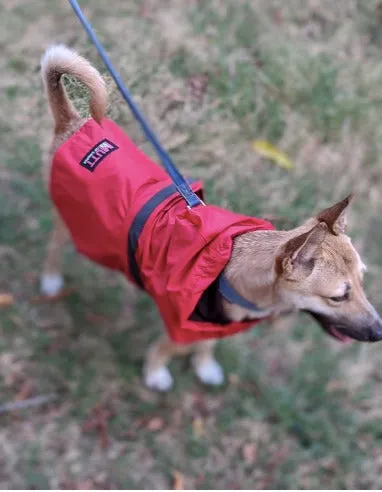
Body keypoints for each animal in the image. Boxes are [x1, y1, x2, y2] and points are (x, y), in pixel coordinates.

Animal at [39, 46, 382, 392]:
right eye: (338, 296)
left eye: (362, 281)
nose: (379, 332)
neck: (233, 275)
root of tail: (73, 123)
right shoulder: (182, 327)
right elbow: (168, 348)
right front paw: (155, 372)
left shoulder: (218, 325)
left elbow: (208, 345)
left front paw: (204, 366)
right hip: (77, 219)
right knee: (55, 242)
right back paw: (51, 278)